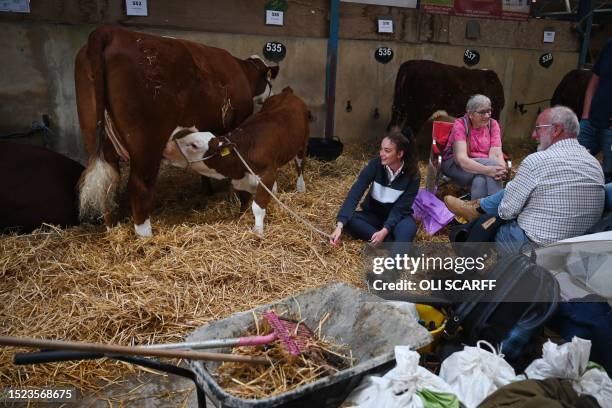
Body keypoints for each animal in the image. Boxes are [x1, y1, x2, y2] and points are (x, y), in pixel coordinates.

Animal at [74, 25, 282, 236]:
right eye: (269, 81)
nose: (272, 94)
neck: (242, 72)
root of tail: (109, 31)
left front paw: (207, 190)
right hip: (146, 142)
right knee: (139, 186)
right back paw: (145, 235)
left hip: (94, 136)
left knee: (106, 185)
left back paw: (113, 228)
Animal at [161, 87, 308, 234]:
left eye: (194, 145)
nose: (165, 147)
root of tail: (287, 92)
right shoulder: (240, 181)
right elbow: (243, 202)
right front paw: (240, 218)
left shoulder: (267, 175)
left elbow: (258, 207)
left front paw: (258, 231)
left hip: (302, 145)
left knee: (299, 166)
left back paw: (301, 188)